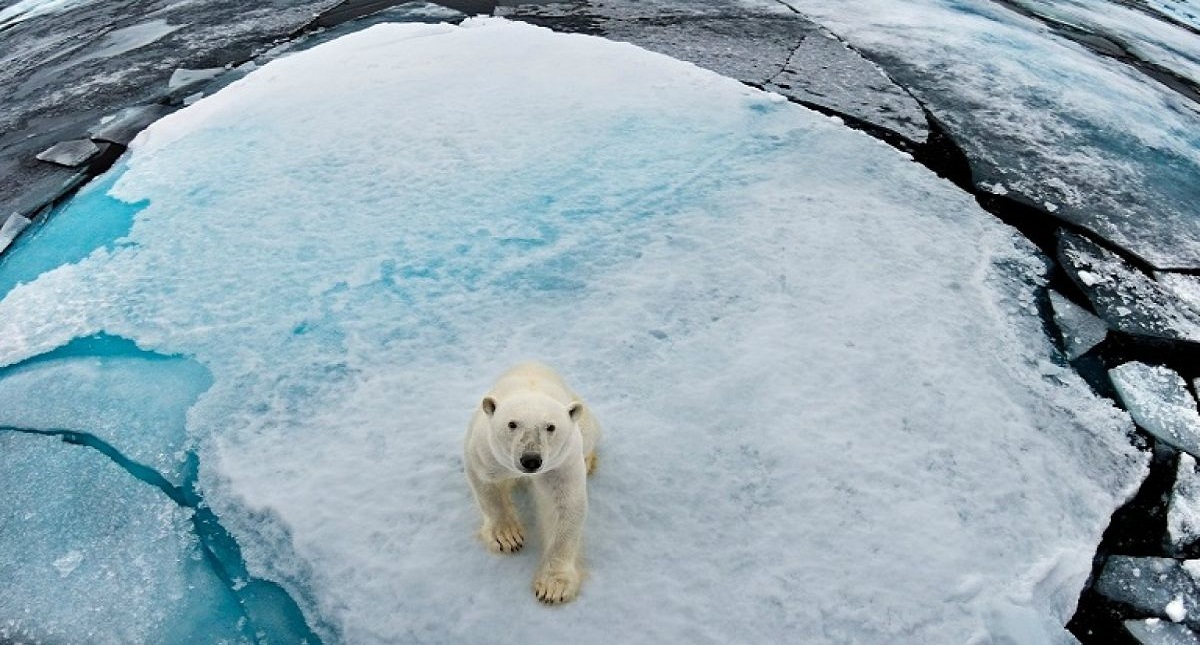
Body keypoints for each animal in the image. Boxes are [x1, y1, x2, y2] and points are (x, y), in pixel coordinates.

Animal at [464, 361, 600, 604]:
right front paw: (507, 537)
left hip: (582, 421)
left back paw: (589, 461)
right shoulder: (487, 450)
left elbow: (563, 505)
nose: (531, 460)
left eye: (551, 426)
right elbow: (487, 485)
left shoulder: (562, 462)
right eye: (512, 424)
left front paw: (553, 587)